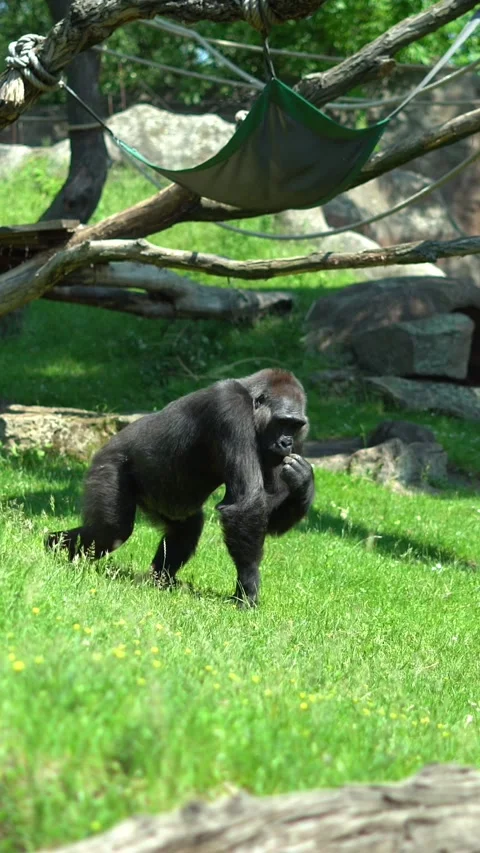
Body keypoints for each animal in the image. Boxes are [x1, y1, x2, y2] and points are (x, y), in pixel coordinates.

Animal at [46, 369, 315, 606]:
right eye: (283, 422)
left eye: (295, 425)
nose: (287, 443)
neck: (250, 399)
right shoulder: (230, 409)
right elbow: (245, 504)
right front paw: (248, 587)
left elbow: (267, 515)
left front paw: (303, 482)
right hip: (108, 465)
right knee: (111, 530)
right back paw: (53, 545)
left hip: (162, 501)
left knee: (186, 529)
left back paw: (159, 580)